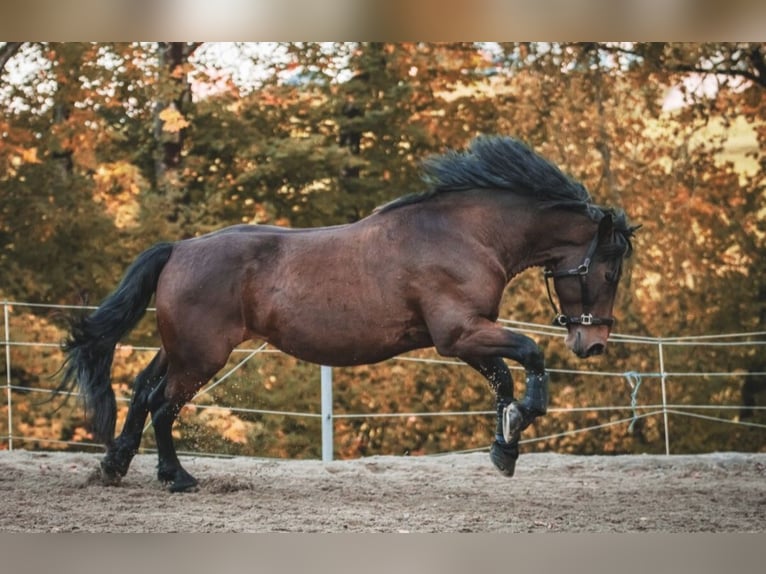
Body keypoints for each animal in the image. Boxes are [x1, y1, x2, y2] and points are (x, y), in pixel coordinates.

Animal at [58, 135, 638, 492]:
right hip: (201, 357)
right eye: (610, 272)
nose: (593, 343)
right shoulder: (460, 334)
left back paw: (115, 465)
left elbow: (502, 381)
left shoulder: (464, 337)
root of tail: (179, 248)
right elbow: (529, 356)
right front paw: (522, 422)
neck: (466, 234)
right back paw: (175, 477)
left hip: (180, 350)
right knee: (162, 404)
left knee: (141, 390)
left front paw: (505, 447)